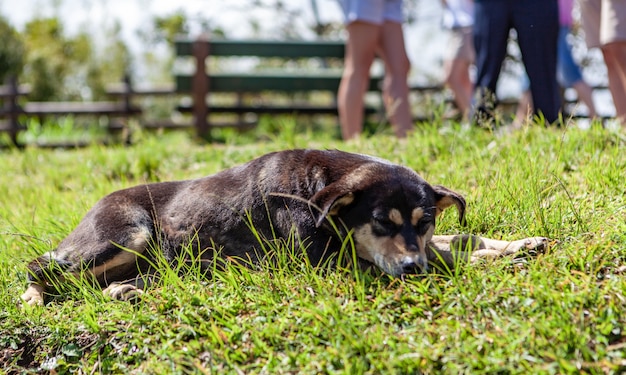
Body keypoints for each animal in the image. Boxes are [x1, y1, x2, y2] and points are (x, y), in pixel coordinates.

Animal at [20, 150, 544, 306]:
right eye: (379, 221)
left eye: (427, 220)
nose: (412, 269)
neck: (317, 187)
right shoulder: (332, 262)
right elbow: (448, 255)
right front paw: (492, 258)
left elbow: (461, 239)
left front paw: (519, 244)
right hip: (125, 233)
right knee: (40, 266)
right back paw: (34, 297)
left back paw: (127, 289)